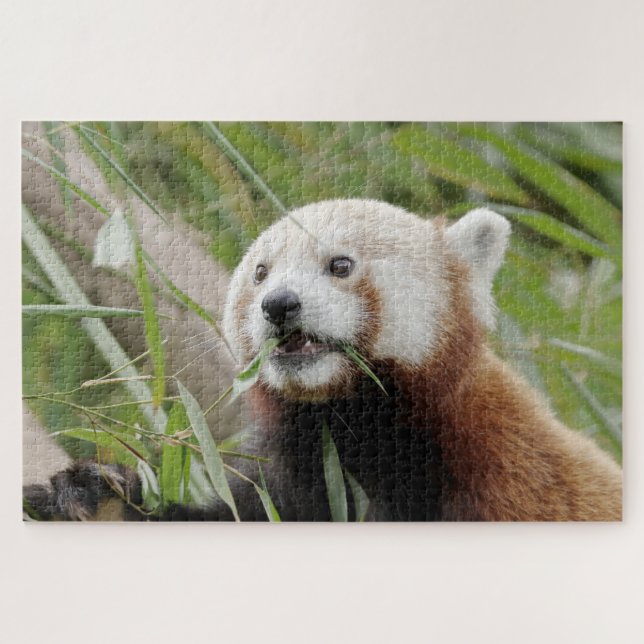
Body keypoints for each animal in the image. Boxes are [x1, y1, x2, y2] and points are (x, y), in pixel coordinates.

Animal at [24, 199, 622, 521]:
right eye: (261, 272)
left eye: (340, 264)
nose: (279, 304)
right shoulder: (299, 480)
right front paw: (93, 493)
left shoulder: (510, 474)